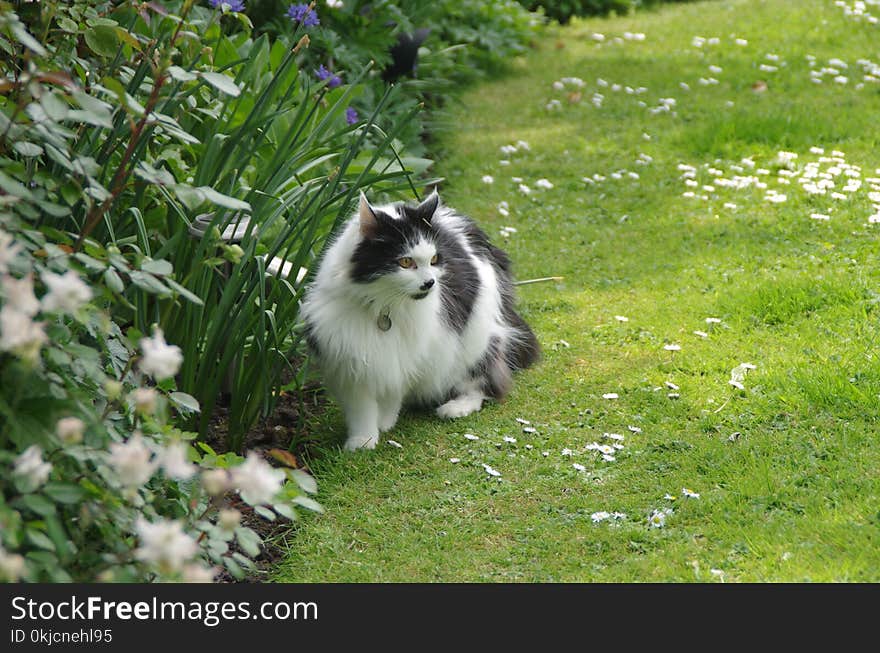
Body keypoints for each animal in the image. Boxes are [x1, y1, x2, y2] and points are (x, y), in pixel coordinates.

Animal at [300, 191, 540, 450]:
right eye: (406, 262)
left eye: (433, 260)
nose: (430, 283)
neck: (384, 307)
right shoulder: (350, 358)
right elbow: (361, 409)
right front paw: (362, 441)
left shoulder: (406, 353)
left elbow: (392, 392)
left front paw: (384, 422)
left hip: (478, 341)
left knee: (483, 383)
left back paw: (455, 408)